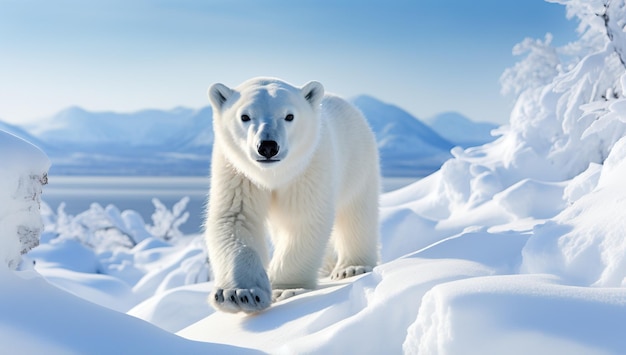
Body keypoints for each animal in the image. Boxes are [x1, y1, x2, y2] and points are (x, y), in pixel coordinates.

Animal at [206, 77, 380, 314]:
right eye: (245, 116)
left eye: (289, 116)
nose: (267, 147)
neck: (274, 175)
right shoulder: (237, 173)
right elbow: (236, 218)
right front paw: (239, 294)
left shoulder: (309, 167)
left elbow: (303, 220)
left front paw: (286, 289)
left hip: (358, 163)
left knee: (356, 213)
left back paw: (351, 267)